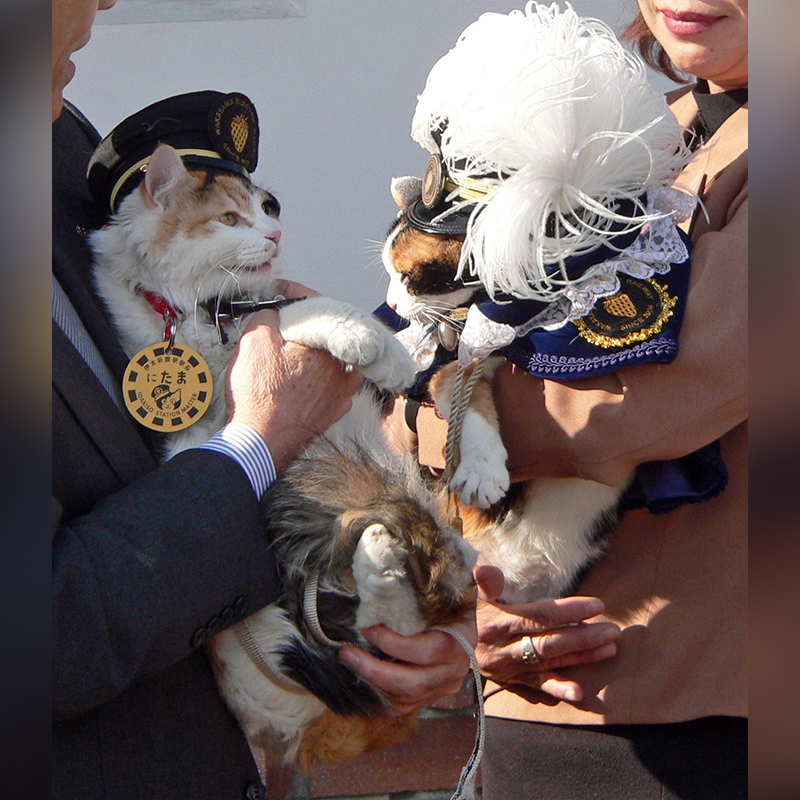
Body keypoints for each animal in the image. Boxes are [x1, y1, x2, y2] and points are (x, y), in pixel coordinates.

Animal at [89, 145, 476, 768]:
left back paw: (386, 558)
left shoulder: (266, 303)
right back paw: (380, 562)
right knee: (365, 637)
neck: (204, 312)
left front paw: (388, 352)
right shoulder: (196, 406)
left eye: (266, 208)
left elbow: (302, 308)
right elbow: (202, 432)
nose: (273, 234)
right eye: (229, 218)